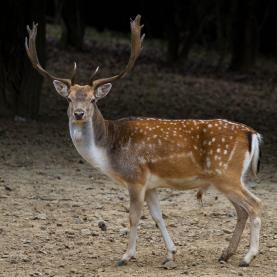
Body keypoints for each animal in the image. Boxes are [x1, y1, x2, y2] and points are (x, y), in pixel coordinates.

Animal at [25, 15, 260, 268]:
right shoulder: (152, 184)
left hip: (227, 175)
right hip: (228, 178)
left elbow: (134, 216)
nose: (79, 114)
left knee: (255, 205)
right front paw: (170, 254)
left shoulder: (135, 178)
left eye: (93, 100)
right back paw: (226, 254)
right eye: (68, 99)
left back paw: (247, 257)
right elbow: (158, 216)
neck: (108, 151)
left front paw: (126, 256)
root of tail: (252, 134)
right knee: (242, 211)